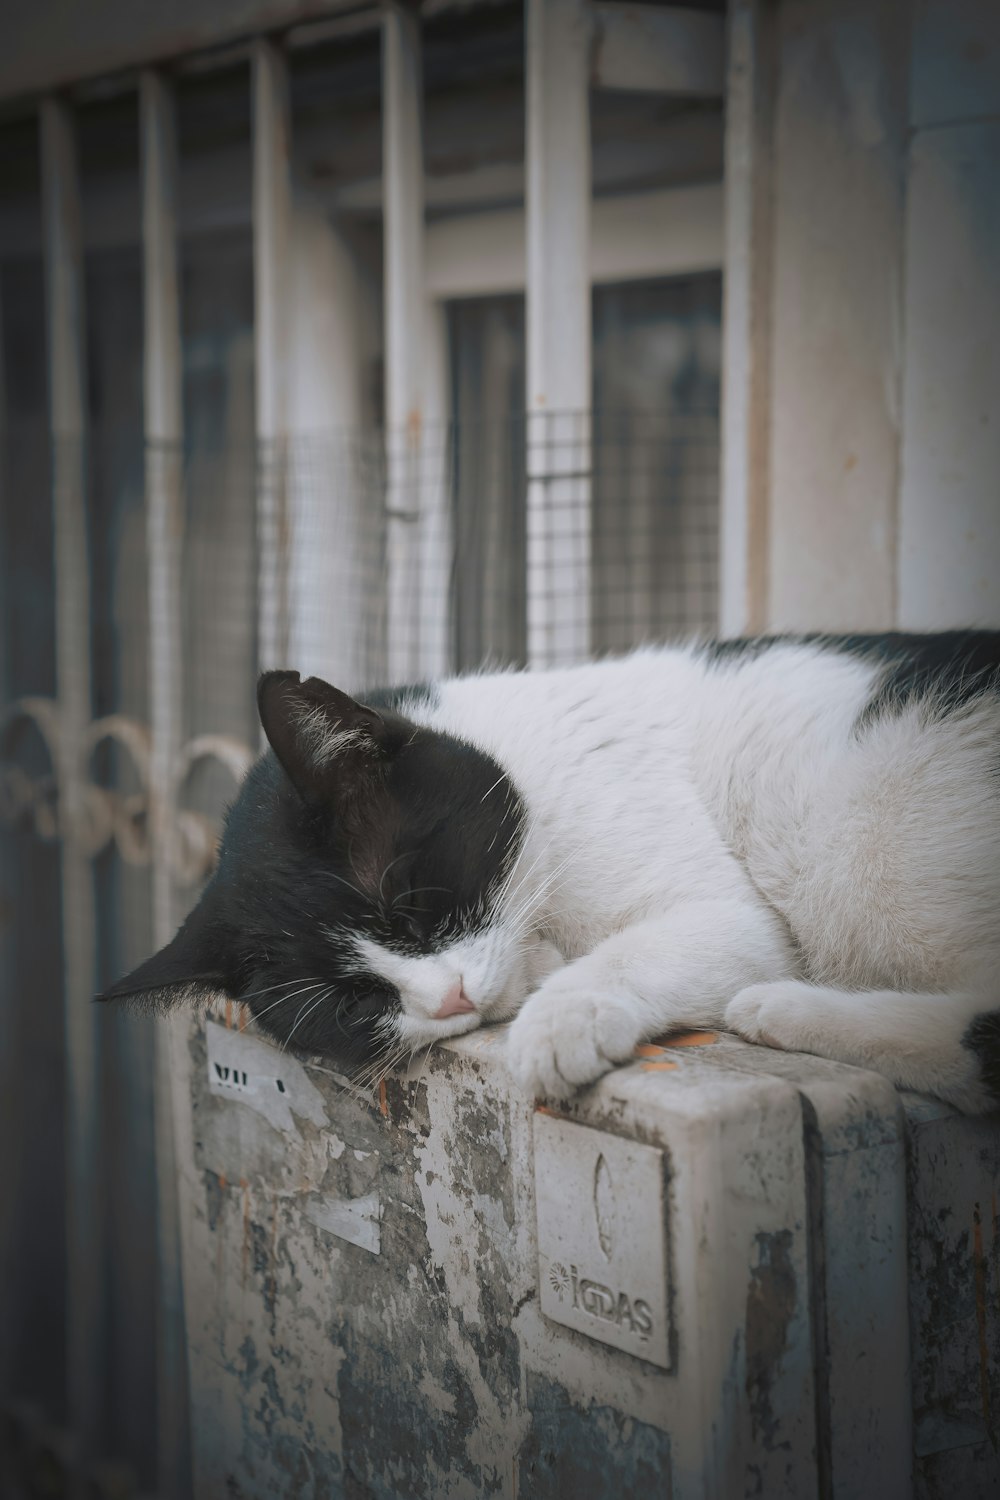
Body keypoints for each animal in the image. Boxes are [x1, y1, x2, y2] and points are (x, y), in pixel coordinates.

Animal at [103, 633, 1000, 1116]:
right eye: (353, 1005)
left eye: (416, 907)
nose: (449, 1000)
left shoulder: (722, 908)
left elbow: (637, 951)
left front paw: (559, 1021)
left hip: (871, 857)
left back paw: (781, 1007)